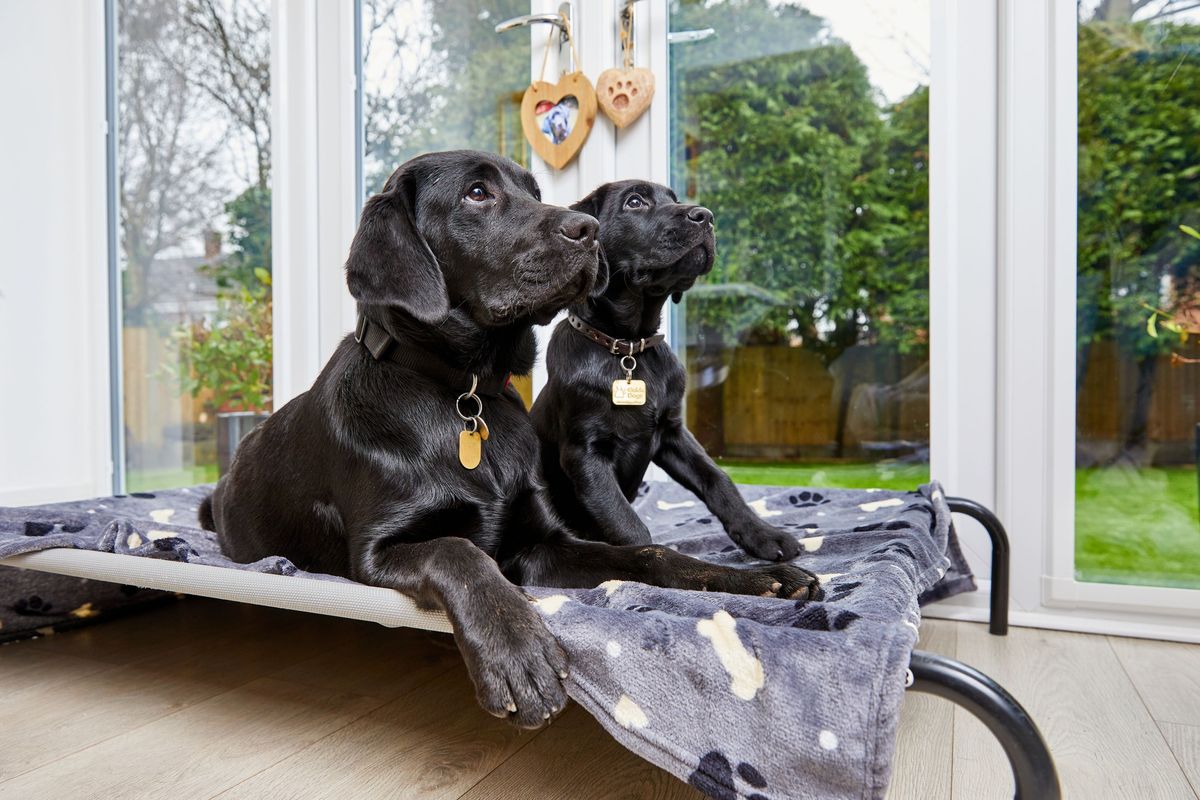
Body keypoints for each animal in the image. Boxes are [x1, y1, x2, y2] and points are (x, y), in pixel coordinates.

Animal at [532, 183, 806, 568]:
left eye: (675, 199)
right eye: (635, 202)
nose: (706, 216)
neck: (629, 349)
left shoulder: (673, 434)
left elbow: (719, 481)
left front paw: (763, 535)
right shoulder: (585, 454)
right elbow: (628, 525)